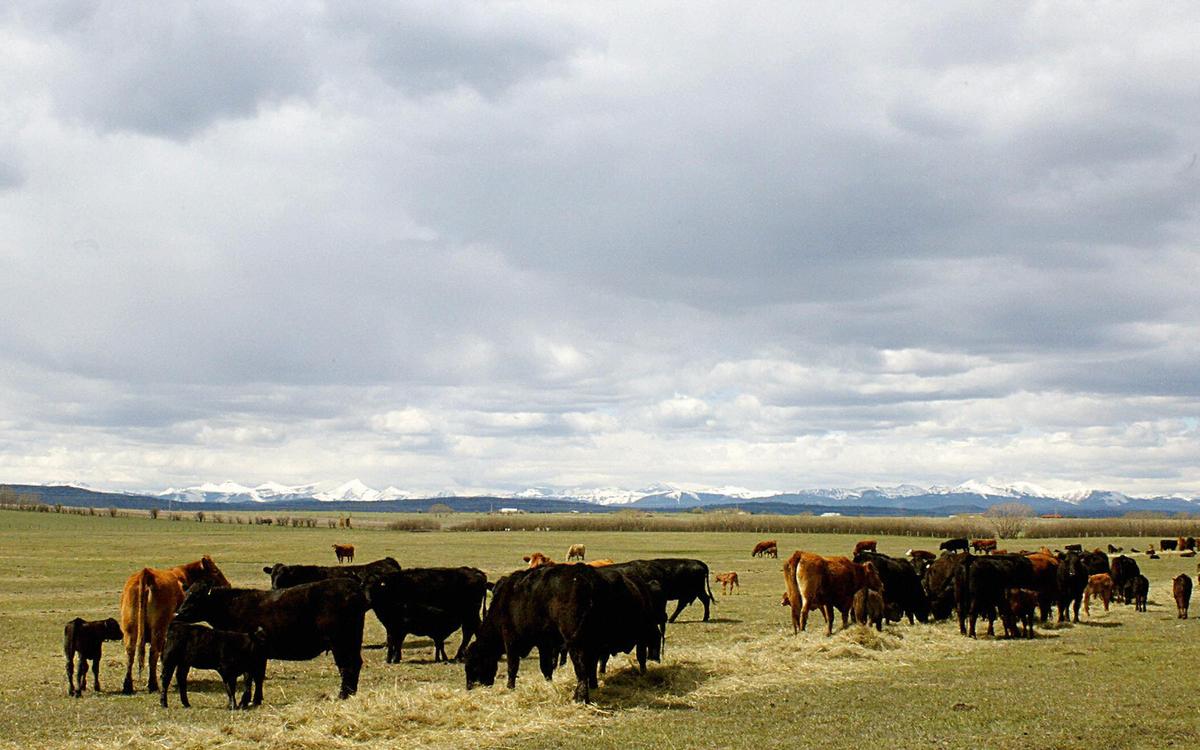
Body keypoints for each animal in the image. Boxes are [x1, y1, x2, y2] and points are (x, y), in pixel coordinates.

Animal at [119, 555, 230, 695]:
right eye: (216, 571)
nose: (228, 585)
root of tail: (147, 574)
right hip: (159, 628)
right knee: (153, 653)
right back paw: (153, 685)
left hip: (130, 628)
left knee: (130, 652)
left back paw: (127, 686)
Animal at [175, 578, 369, 701]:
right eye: (186, 594)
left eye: (196, 597)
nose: (179, 613)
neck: (233, 606)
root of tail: (354, 587)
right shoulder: (260, 653)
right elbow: (258, 676)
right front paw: (257, 699)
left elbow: (249, 676)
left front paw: (246, 700)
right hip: (351, 641)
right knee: (355, 664)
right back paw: (351, 693)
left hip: (340, 642)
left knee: (347, 666)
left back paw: (343, 695)